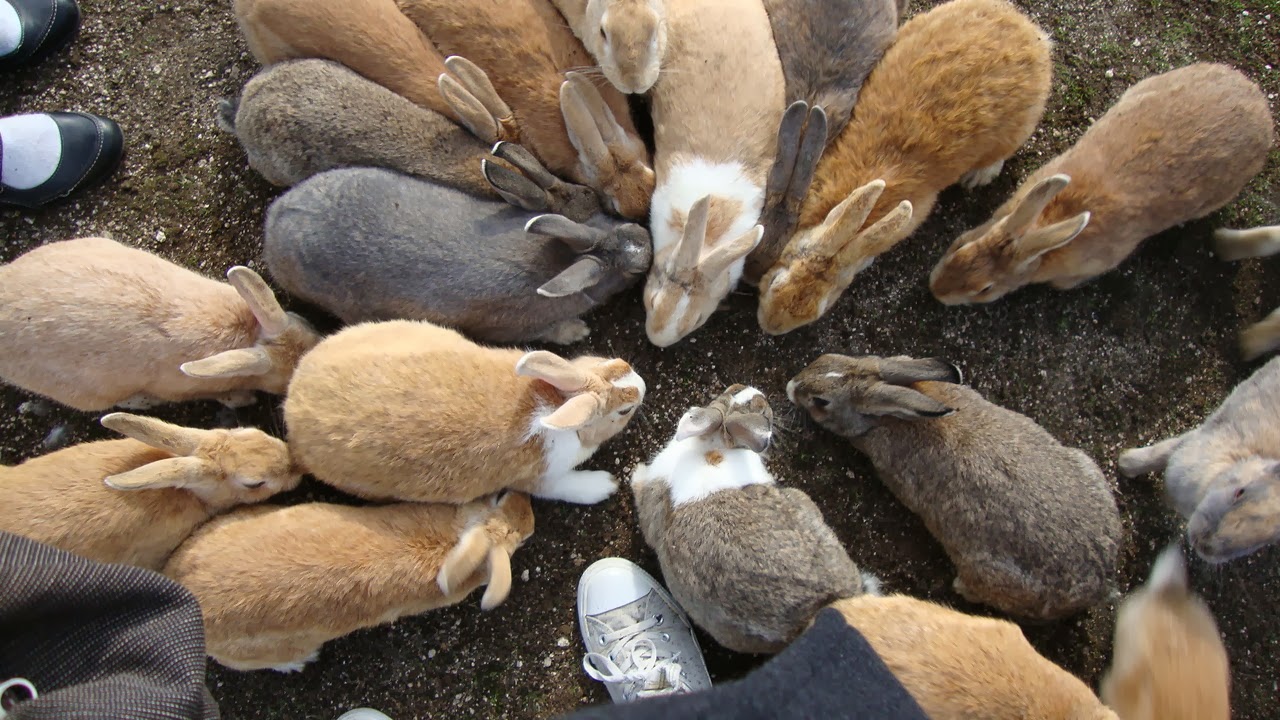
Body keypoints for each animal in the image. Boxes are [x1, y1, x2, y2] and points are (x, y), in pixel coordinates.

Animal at [0, 237, 321, 412]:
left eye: (309, 325)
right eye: (284, 383)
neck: (247, 333)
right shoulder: (178, 387)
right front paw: (241, 399)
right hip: (86, 393)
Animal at [262, 159, 651, 345]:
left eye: (616, 221)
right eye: (633, 272)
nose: (647, 239)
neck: (563, 261)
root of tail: (274, 223)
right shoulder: (514, 329)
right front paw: (576, 332)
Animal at [284, 320, 645, 505]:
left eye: (613, 362)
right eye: (625, 410)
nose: (642, 384)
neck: (555, 404)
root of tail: (292, 406)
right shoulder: (542, 478)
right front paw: (607, 485)